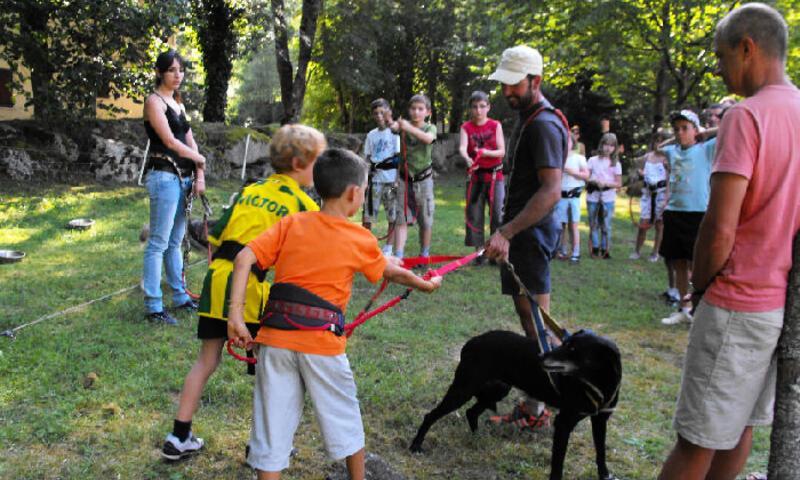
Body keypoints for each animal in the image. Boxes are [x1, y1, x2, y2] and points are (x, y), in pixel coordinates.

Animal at [410, 330, 620, 480]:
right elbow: (558, 461)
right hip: (464, 390)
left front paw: (604, 475)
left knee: (471, 412)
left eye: (574, 350)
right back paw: (416, 445)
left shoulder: (601, 420)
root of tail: (471, 342)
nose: (541, 356)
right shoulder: (563, 423)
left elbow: (601, 452)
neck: (598, 384)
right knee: (431, 415)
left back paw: (477, 437)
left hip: (498, 389)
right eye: (564, 344)